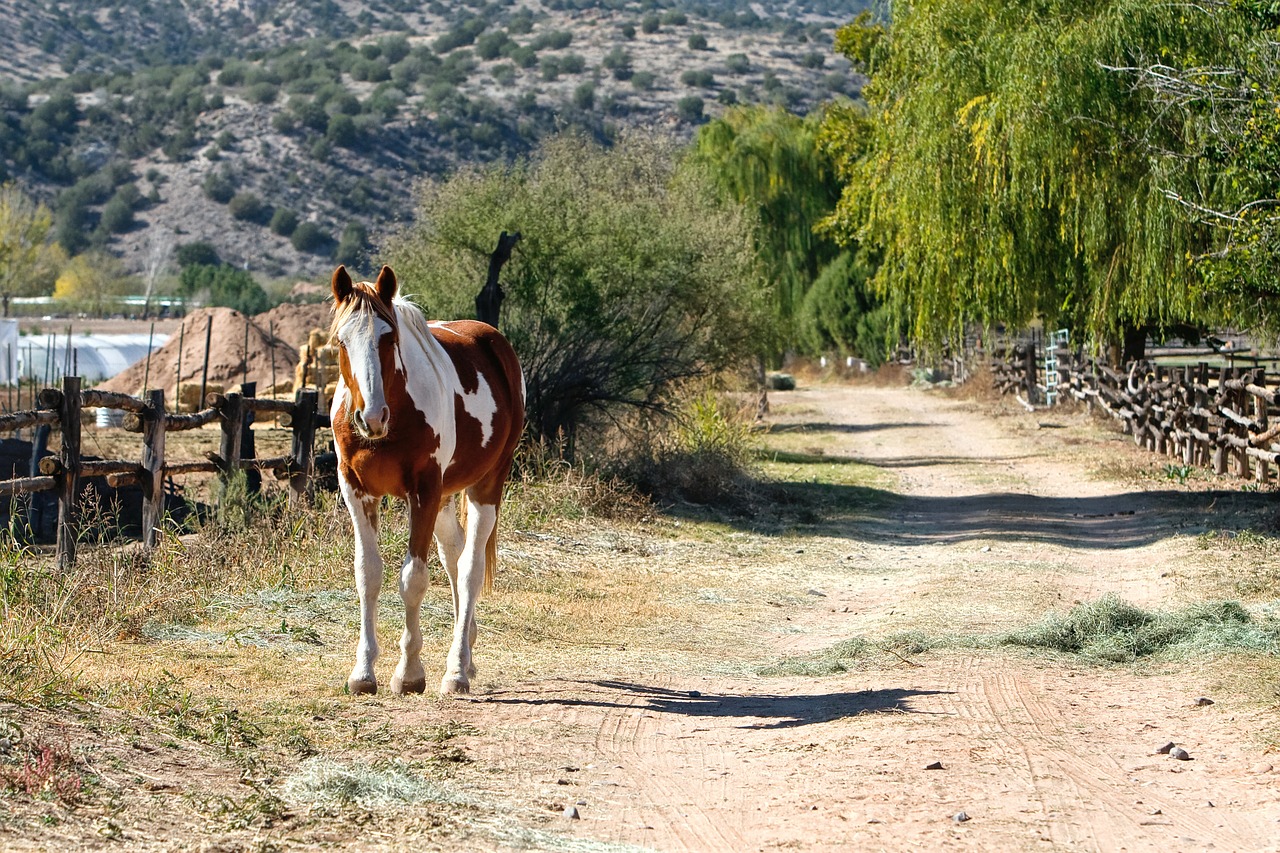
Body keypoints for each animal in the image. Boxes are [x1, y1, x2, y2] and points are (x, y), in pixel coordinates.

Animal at [332, 262, 527, 696]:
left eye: (388, 338)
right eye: (341, 341)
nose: (371, 418)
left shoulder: (422, 492)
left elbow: (413, 578)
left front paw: (409, 673)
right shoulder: (357, 492)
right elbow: (368, 574)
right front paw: (363, 672)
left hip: (485, 485)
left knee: (469, 568)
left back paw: (456, 672)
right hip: (446, 496)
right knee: (454, 556)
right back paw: (466, 653)